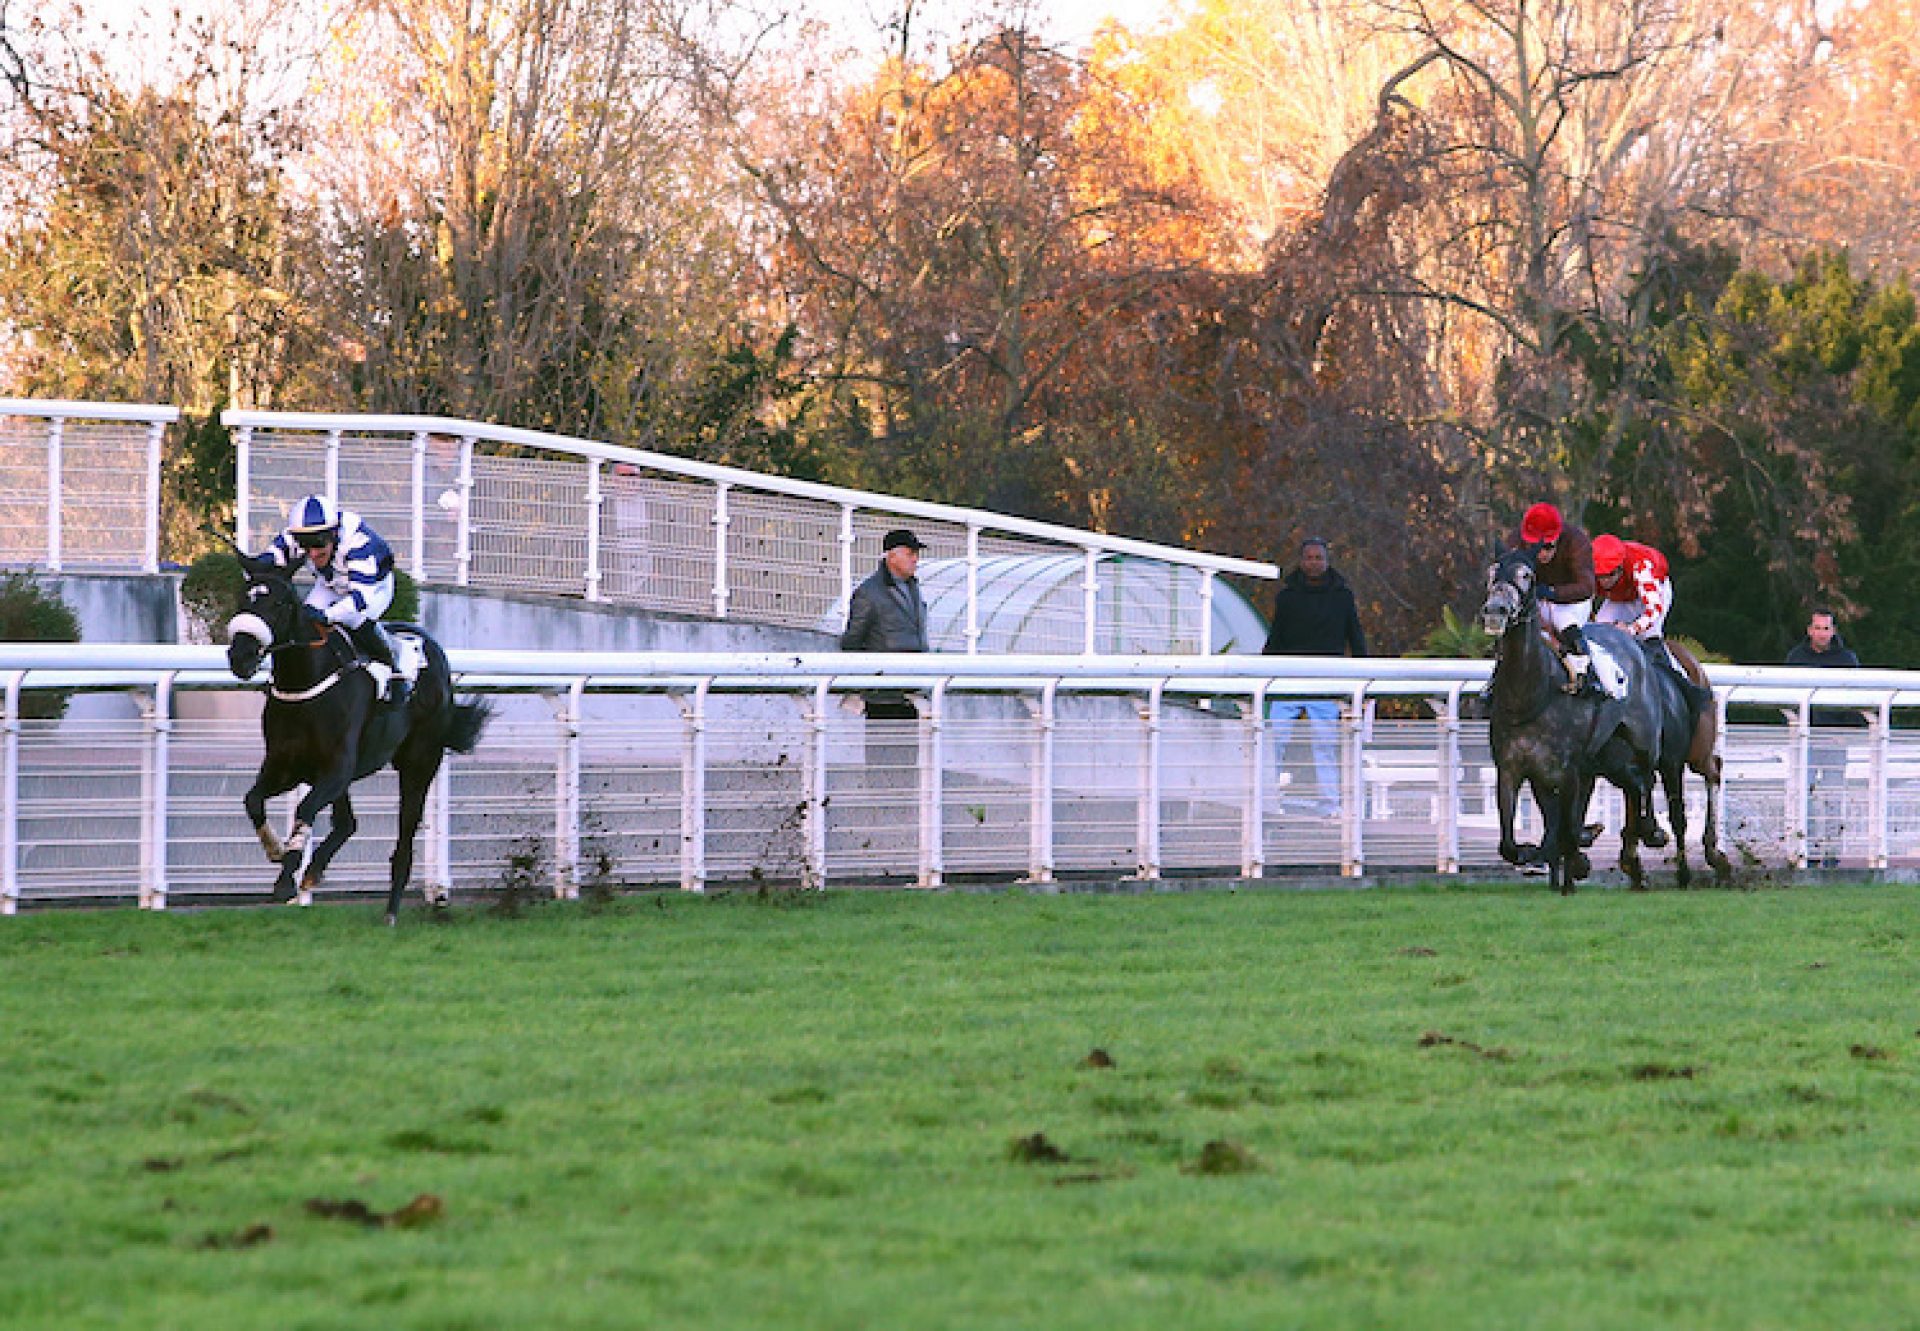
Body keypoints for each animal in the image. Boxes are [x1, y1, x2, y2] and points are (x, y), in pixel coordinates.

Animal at [227, 556, 491, 918]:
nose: (240, 656)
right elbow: (253, 800)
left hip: (419, 764)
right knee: (347, 823)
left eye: (279, 603)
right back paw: (314, 871)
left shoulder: (336, 768)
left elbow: (305, 809)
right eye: (244, 597)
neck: (306, 681)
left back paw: (391, 911)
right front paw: (278, 851)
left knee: (404, 837)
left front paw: (285, 878)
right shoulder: (288, 765)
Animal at [1482, 541, 1666, 891]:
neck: (1530, 694)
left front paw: (1573, 864)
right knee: (1631, 782)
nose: (1496, 609)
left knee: (1647, 778)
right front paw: (1536, 854)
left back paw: (1651, 831)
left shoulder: (1567, 771)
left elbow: (1566, 826)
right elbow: (1510, 842)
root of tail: (1628, 640)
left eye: (1527, 575)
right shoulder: (1515, 769)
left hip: (1643, 740)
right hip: (1603, 755)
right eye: (1492, 571)